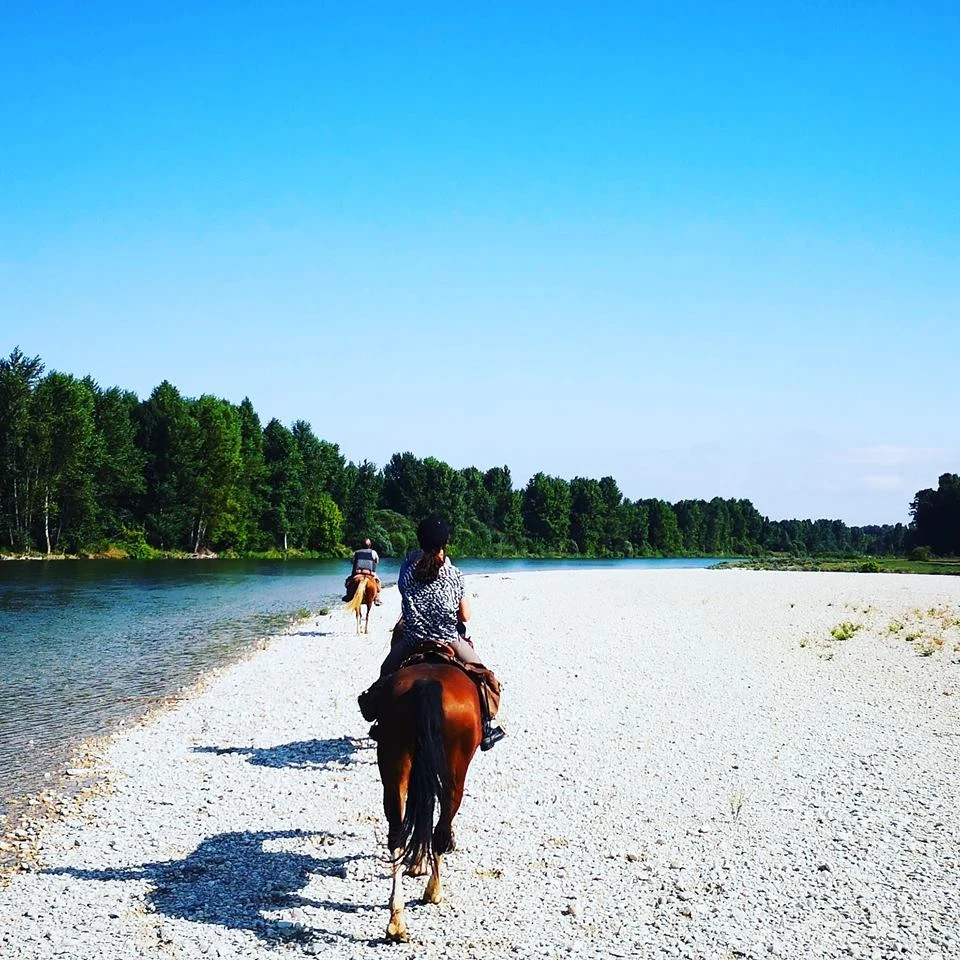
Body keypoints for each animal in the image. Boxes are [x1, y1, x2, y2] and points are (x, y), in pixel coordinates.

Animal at [376, 661, 482, 942]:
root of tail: (426, 684)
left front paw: (417, 863)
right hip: (455, 774)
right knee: (441, 829)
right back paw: (433, 891)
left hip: (394, 765)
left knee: (397, 835)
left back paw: (396, 922)